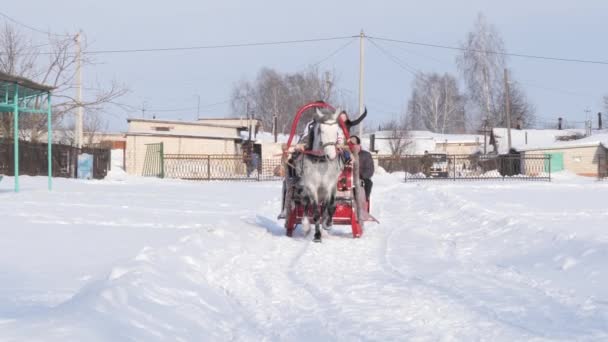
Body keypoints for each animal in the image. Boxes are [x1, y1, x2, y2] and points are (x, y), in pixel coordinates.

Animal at [298, 105, 344, 242]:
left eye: (337, 131)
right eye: (321, 131)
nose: (331, 156)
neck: (321, 163)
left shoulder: (329, 186)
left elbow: (329, 207)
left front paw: (327, 224)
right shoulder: (312, 187)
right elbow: (316, 212)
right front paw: (317, 235)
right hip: (306, 189)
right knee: (306, 205)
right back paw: (306, 226)